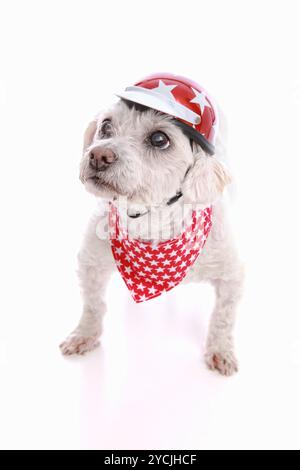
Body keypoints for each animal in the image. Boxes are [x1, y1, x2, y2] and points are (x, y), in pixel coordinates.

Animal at [59, 73, 244, 376]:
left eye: (159, 138)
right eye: (106, 126)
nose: (98, 155)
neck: (149, 221)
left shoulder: (232, 275)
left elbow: (223, 317)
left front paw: (220, 351)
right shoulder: (90, 263)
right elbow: (93, 305)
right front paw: (85, 335)